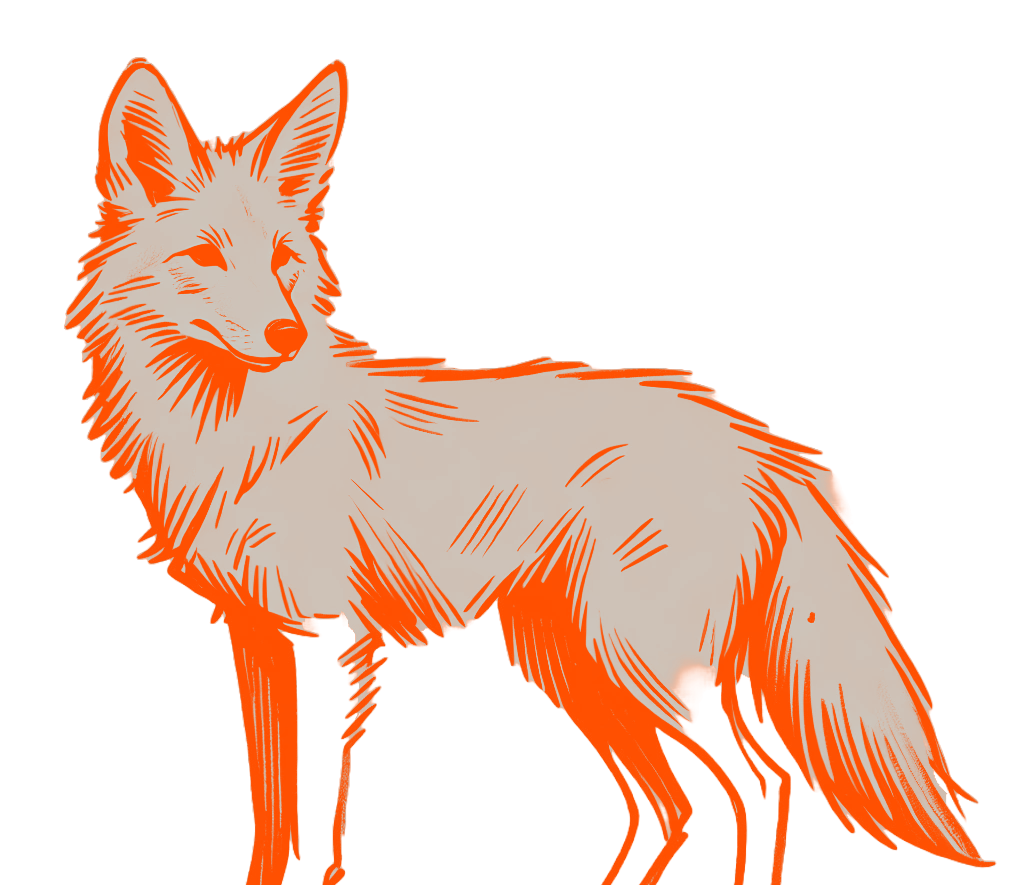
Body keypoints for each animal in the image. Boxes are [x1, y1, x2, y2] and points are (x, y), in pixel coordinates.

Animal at [66, 57, 995, 884]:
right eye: (205, 257)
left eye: (285, 260)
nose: (287, 336)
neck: (228, 429)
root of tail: (765, 444)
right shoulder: (259, 633)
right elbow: (271, 819)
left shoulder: (340, 639)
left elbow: (319, 825)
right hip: (578, 669)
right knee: (679, 809)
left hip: (626, 662)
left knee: (751, 792)